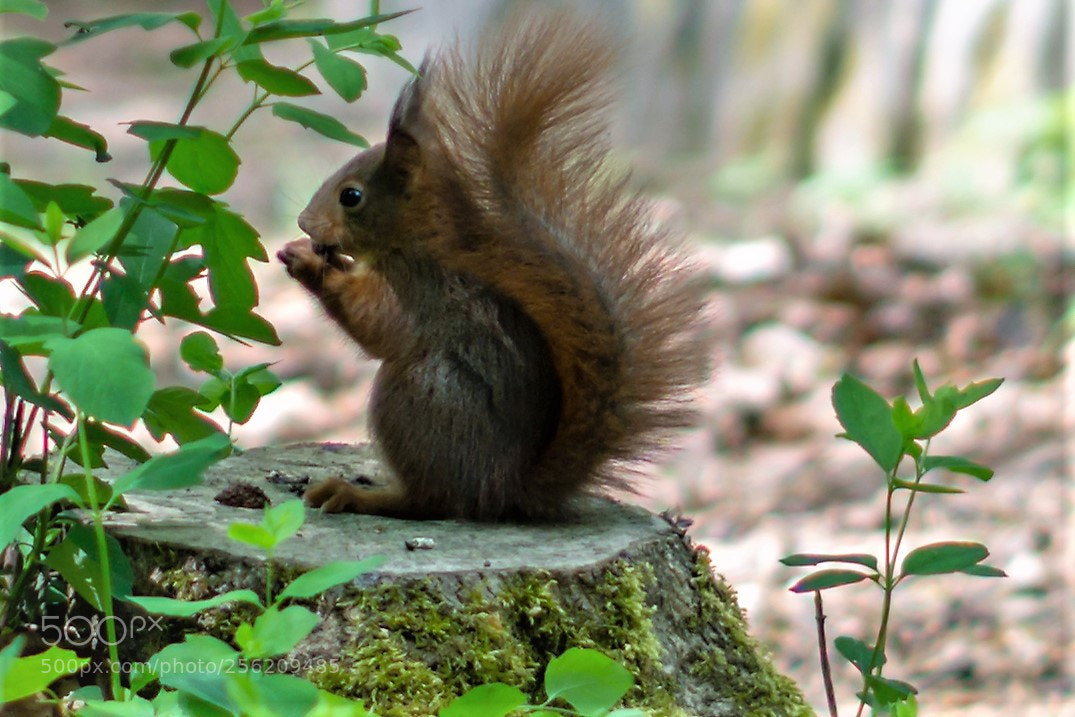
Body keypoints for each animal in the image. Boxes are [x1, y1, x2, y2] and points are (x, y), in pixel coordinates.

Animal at [277, 12, 710, 521]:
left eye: (351, 196)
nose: (304, 223)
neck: (414, 241)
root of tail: (503, 491)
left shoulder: (419, 288)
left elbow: (377, 323)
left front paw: (307, 262)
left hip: (416, 397)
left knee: (432, 500)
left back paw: (358, 495)